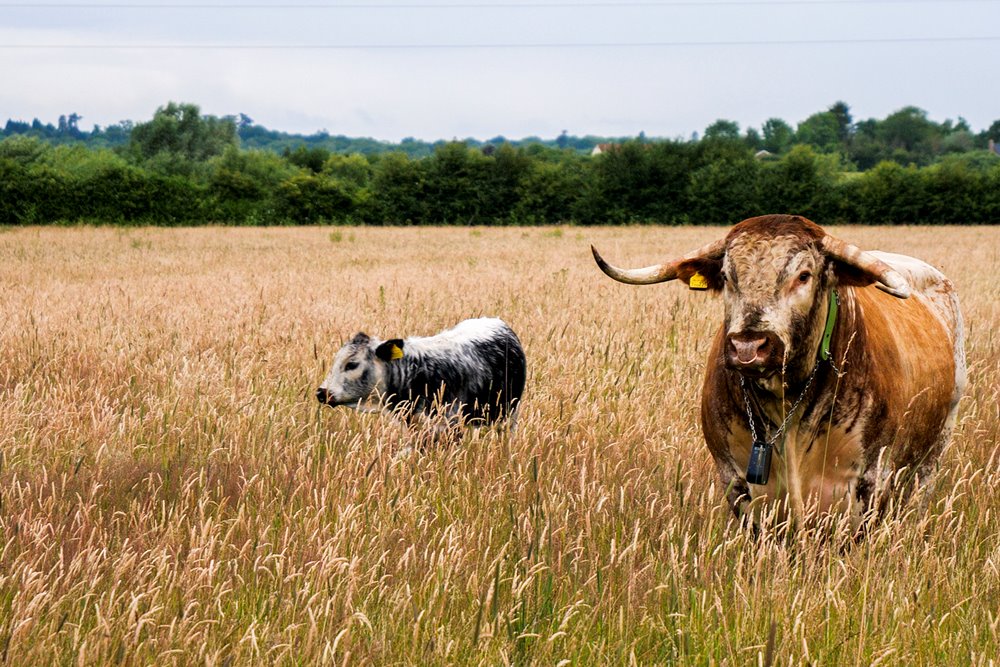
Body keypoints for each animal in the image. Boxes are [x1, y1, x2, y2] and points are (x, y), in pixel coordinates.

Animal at [588, 215, 964, 532]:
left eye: (804, 276)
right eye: (727, 277)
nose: (747, 346)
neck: (787, 405)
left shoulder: (869, 480)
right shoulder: (737, 480)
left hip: (933, 450)